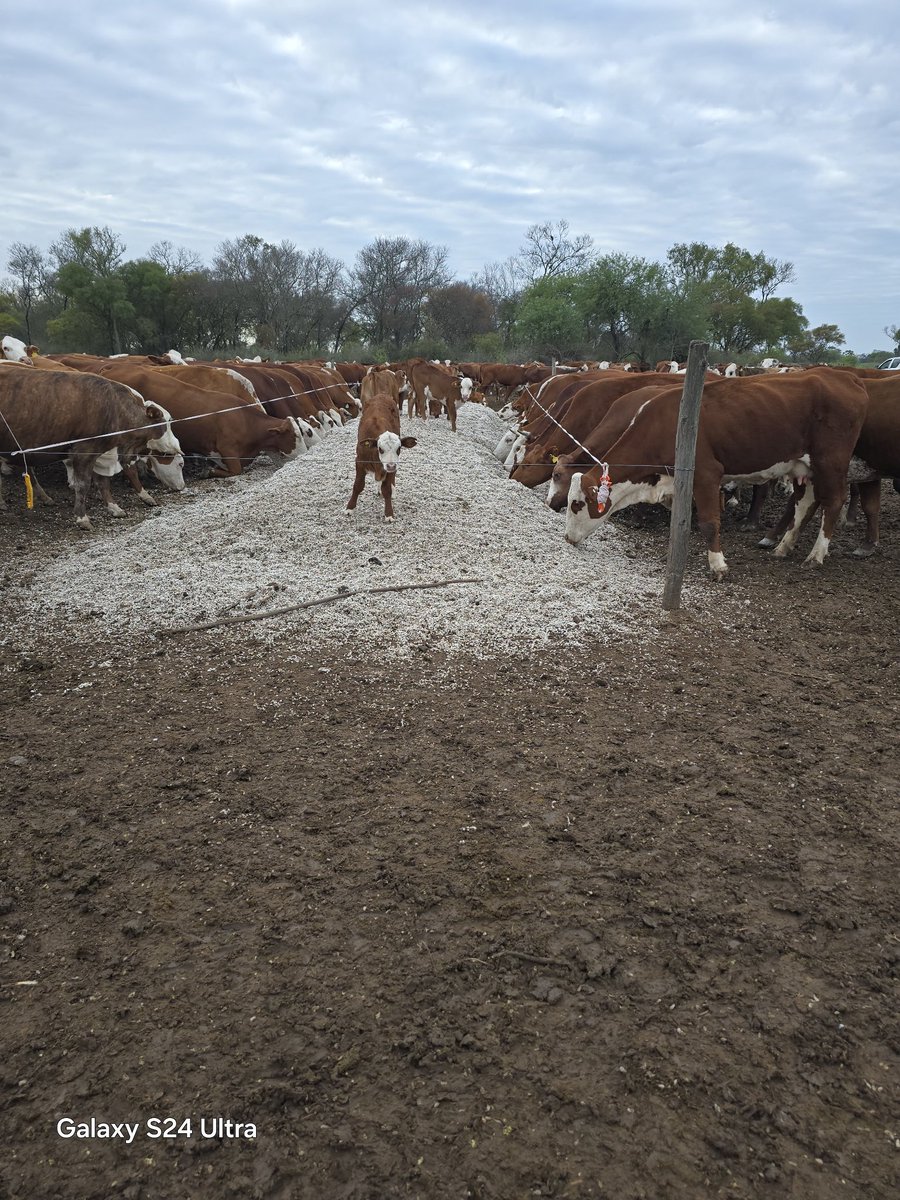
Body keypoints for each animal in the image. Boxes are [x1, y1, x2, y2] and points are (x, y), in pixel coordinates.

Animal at [562, 369, 869, 576]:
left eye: (576, 503)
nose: (567, 538)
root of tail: (843, 376)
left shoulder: (706, 474)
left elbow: (709, 522)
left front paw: (718, 565)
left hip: (831, 461)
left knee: (834, 501)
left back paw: (816, 555)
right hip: (804, 466)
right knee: (805, 503)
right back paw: (783, 547)